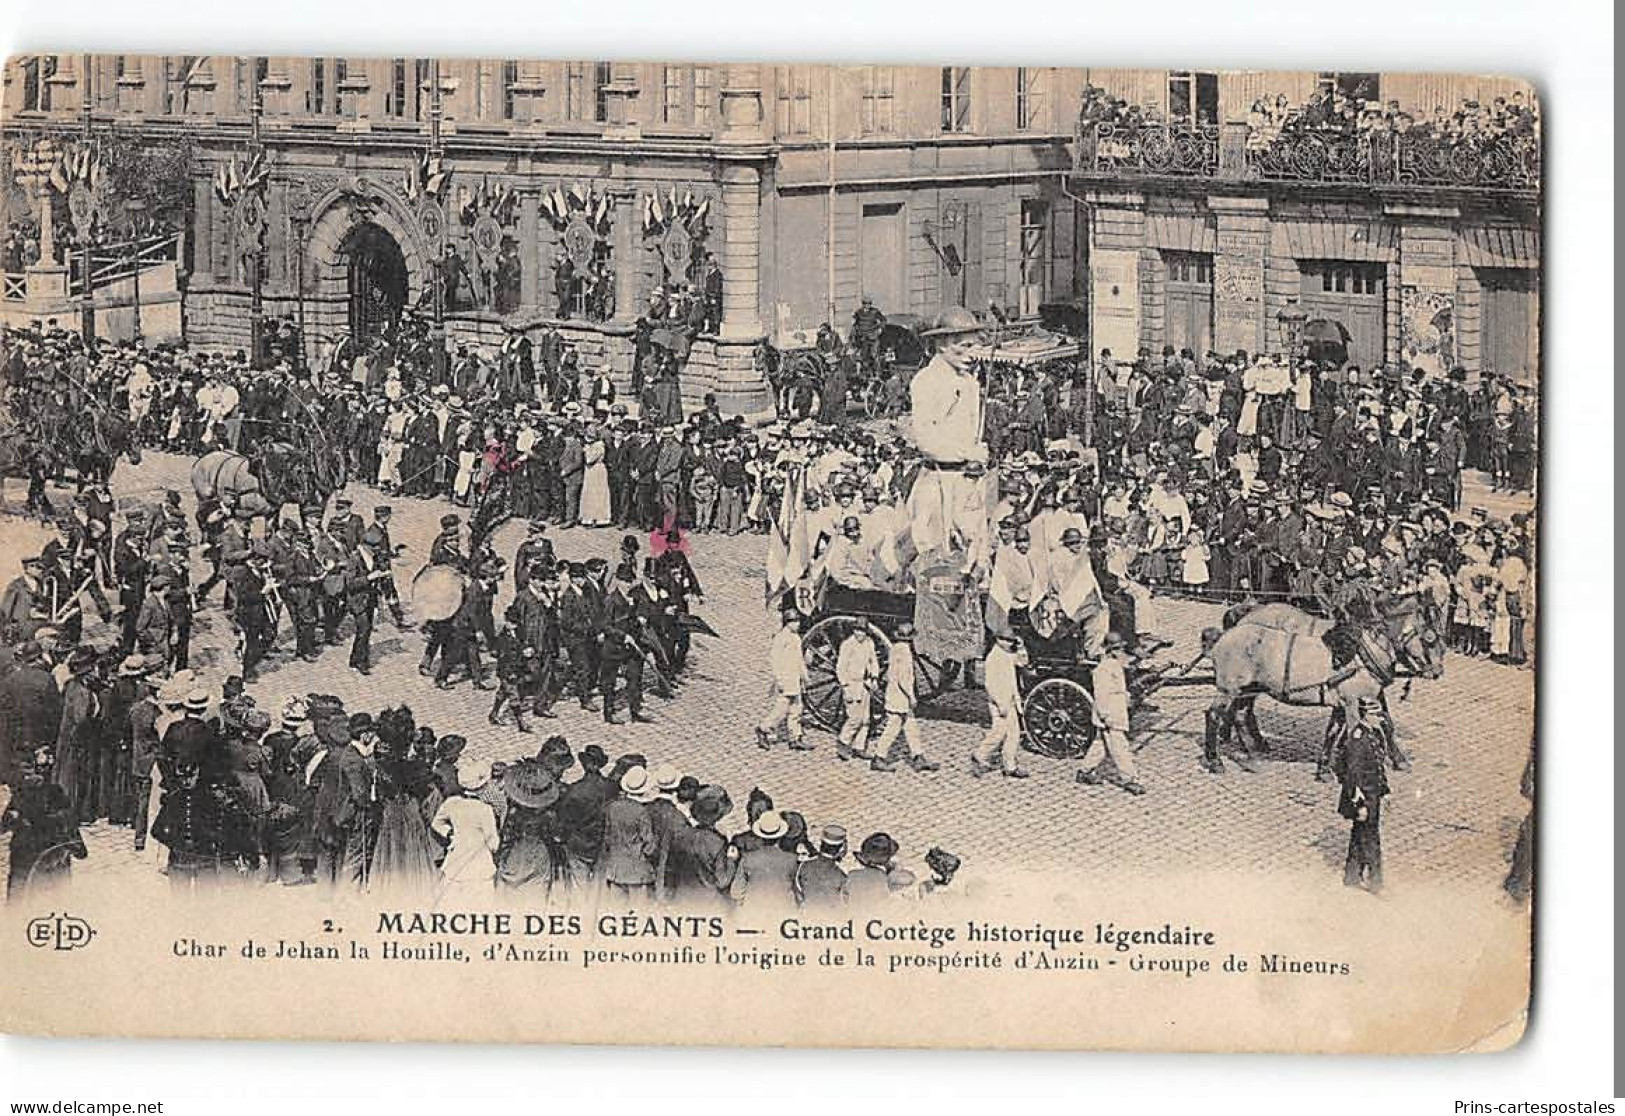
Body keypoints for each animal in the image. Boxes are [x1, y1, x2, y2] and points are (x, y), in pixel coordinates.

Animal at [1202, 601, 1443, 776]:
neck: (1361, 653)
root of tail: (1225, 636)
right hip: (1229, 689)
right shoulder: (1353, 698)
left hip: (1248, 687)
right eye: (1429, 638)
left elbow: (1336, 730)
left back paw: (1253, 755)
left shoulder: (1347, 699)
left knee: (1240, 714)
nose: (1437, 672)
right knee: (1215, 714)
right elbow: (1373, 725)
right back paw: (1216, 760)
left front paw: (1326, 767)